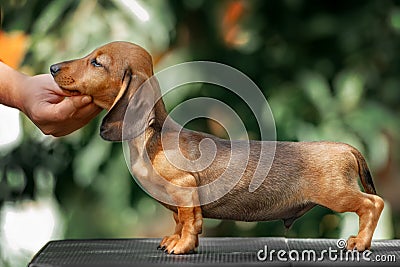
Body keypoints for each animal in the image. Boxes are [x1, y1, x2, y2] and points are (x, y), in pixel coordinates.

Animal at [50, 41, 384, 255]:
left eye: (97, 62)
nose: (52, 67)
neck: (151, 138)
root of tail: (346, 147)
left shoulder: (185, 188)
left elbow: (189, 223)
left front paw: (182, 246)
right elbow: (178, 221)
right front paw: (172, 240)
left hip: (336, 194)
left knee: (373, 204)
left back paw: (360, 243)